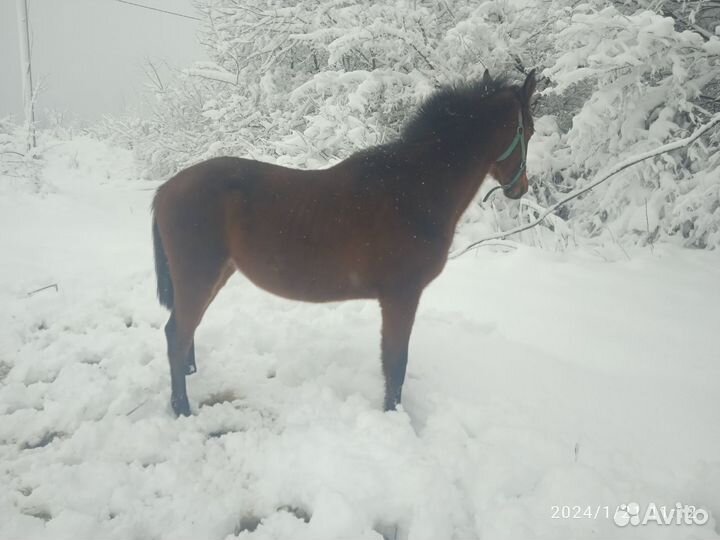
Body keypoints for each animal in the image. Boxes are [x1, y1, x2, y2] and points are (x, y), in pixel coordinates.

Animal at [152, 69, 536, 416]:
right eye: (529, 130)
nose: (521, 188)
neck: (415, 187)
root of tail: (167, 188)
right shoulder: (401, 296)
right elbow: (395, 363)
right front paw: (394, 416)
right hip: (199, 277)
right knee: (176, 334)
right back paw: (182, 408)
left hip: (216, 275)